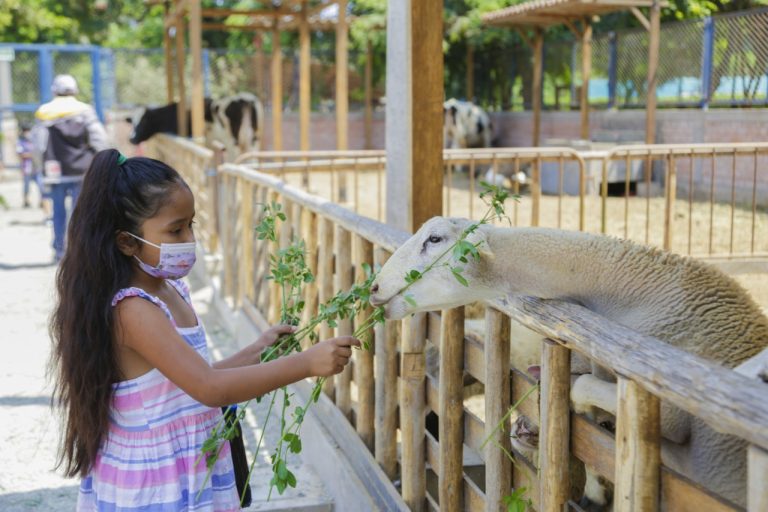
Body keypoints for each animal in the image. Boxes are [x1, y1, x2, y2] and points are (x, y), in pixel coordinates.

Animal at [128, 92, 264, 162]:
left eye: (143, 122)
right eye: (132, 123)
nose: (131, 139)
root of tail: (244, 99)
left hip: (232, 141)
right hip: (253, 140)